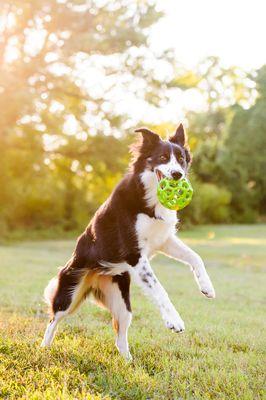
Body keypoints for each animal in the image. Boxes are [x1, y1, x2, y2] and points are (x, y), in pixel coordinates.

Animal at [42, 124, 216, 360]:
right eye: (162, 157)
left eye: (181, 159)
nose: (177, 174)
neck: (150, 197)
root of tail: (95, 277)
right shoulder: (135, 254)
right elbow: (159, 288)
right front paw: (174, 320)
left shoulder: (163, 240)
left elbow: (195, 257)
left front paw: (207, 287)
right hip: (69, 294)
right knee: (53, 320)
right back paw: (43, 348)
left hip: (122, 304)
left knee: (119, 335)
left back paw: (128, 361)